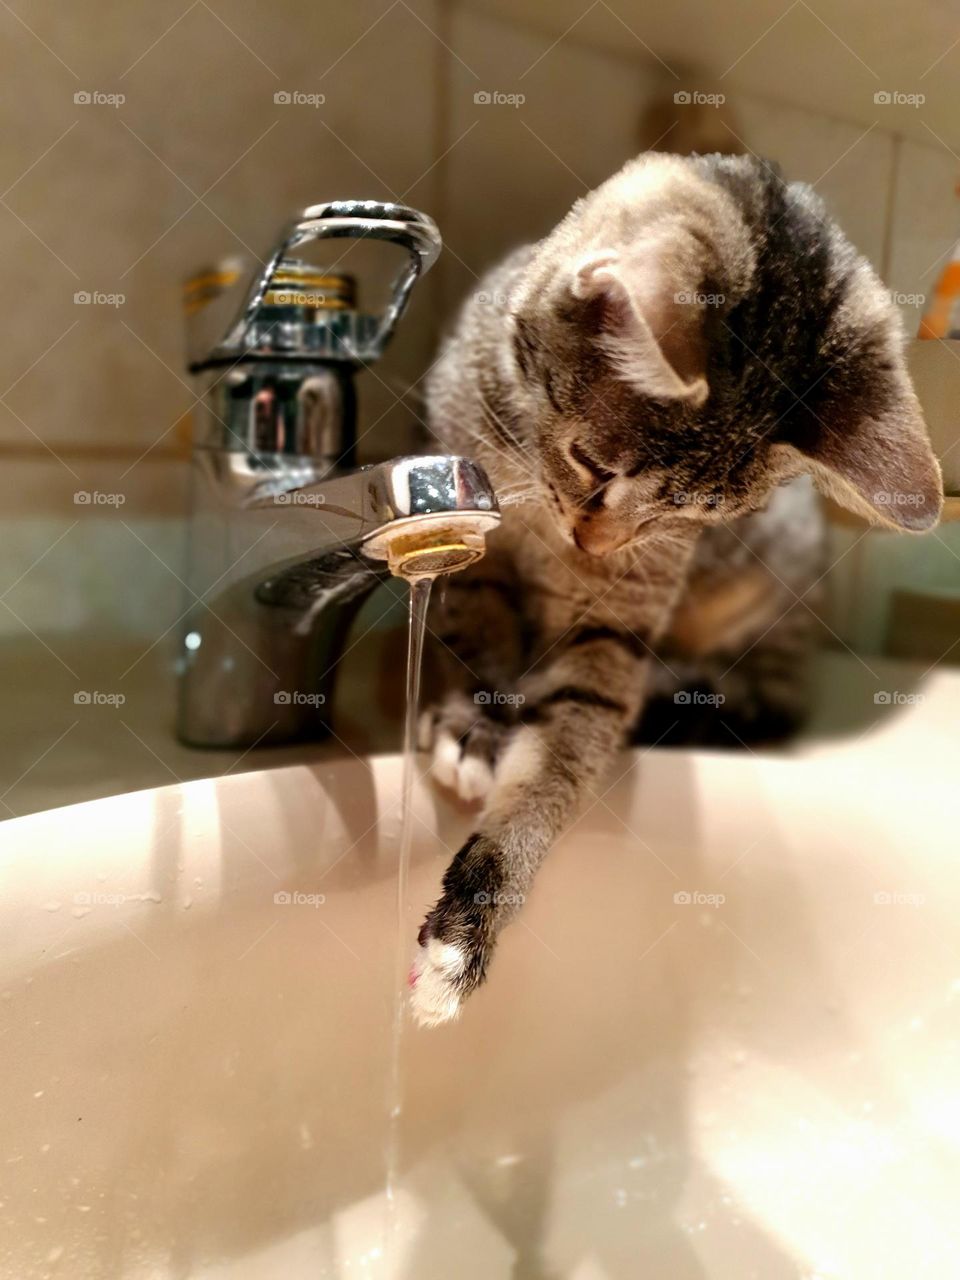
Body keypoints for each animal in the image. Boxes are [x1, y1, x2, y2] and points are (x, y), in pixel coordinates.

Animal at [409, 149, 942, 1029]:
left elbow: (561, 755)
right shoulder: (467, 546)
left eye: (690, 512)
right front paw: (474, 721)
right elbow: (477, 635)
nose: (595, 544)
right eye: (592, 465)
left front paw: (475, 913)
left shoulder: (615, 619)